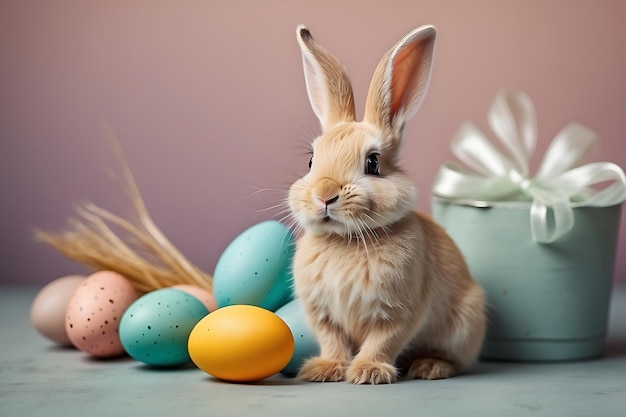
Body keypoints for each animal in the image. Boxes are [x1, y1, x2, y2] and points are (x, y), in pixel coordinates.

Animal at [286, 25, 486, 384]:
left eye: (373, 163)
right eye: (310, 161)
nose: (325, 193)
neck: (346, 240)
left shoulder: (400, 312)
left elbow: (383, 340)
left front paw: (367, 372)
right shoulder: (323, 315)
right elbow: (332, 342)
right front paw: (324, 370)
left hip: (464, 323)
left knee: (455, 359)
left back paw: (430, 367)